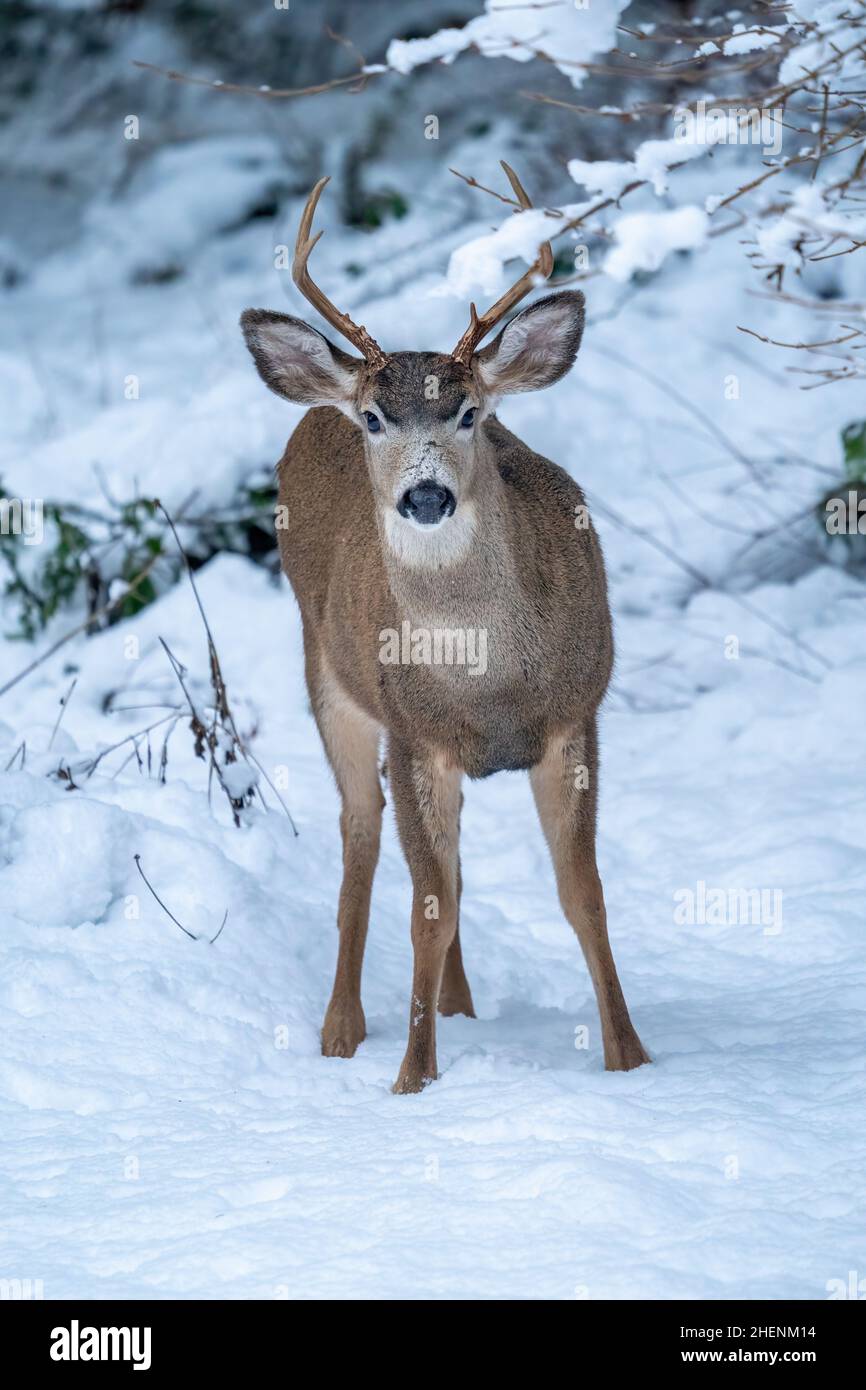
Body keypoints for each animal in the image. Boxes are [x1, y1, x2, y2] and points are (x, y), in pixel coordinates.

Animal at [239, 165, 650, 1095]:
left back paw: (457, 1005)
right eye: (376, 420)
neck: (487, 679)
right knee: (360, 834)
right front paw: (411, 1080)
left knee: (450, 875)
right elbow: (427, 906)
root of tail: (314, 402)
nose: (425, 495)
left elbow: (584, 894)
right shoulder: (413, 732)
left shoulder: (577, 715)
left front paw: (631, 1060)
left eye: (470, 414)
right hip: (328, 678)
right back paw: (343, 1027)